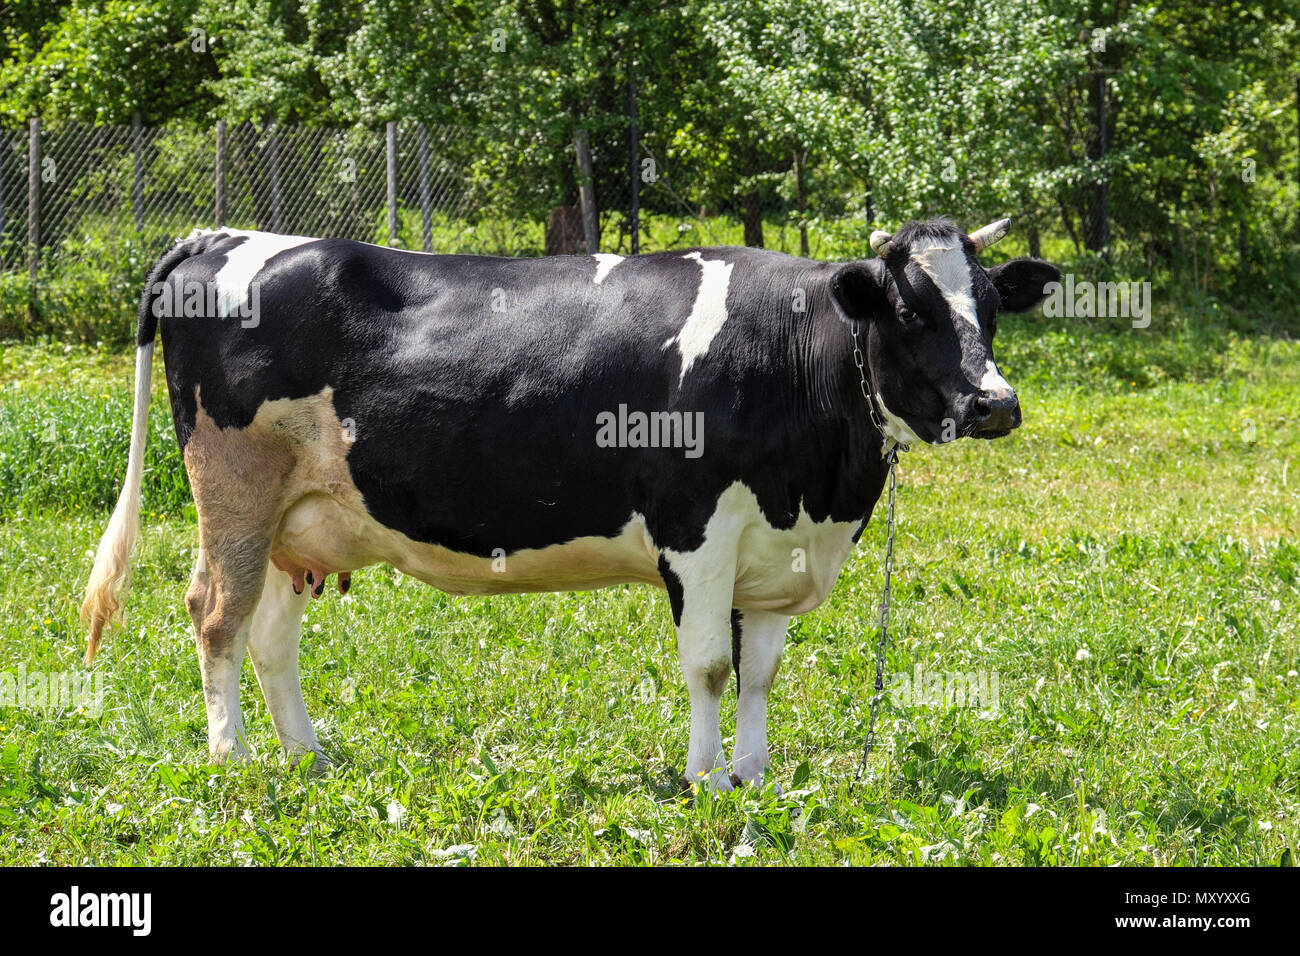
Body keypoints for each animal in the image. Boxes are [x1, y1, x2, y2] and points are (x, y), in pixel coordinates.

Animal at [81, 217, 1059, 790]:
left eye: (990, 308)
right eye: (909, 309)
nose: (996, 404)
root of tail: (218, 234)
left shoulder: (776, 549)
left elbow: (761, 673)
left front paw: (754, 777)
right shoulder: (695, 532)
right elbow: (711, 666)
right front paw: (707, 783)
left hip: (309, 517)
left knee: (271, 637)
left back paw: (307, 758)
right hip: (234, 487)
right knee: (216, 614)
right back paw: (234, 762)